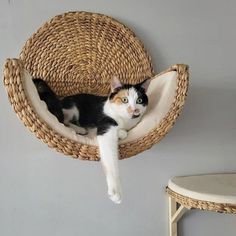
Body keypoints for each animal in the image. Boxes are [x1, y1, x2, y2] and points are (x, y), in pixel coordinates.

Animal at [33, 75, 151, 203]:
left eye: (139, 101)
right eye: (125, 100)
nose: (134, 110)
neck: (124, 120)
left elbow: (124, 132)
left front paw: (121, 133)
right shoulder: (105, 126)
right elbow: (110, 157)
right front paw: (115, 191)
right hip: (72, 108)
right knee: (63, 121)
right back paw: (80, 129)